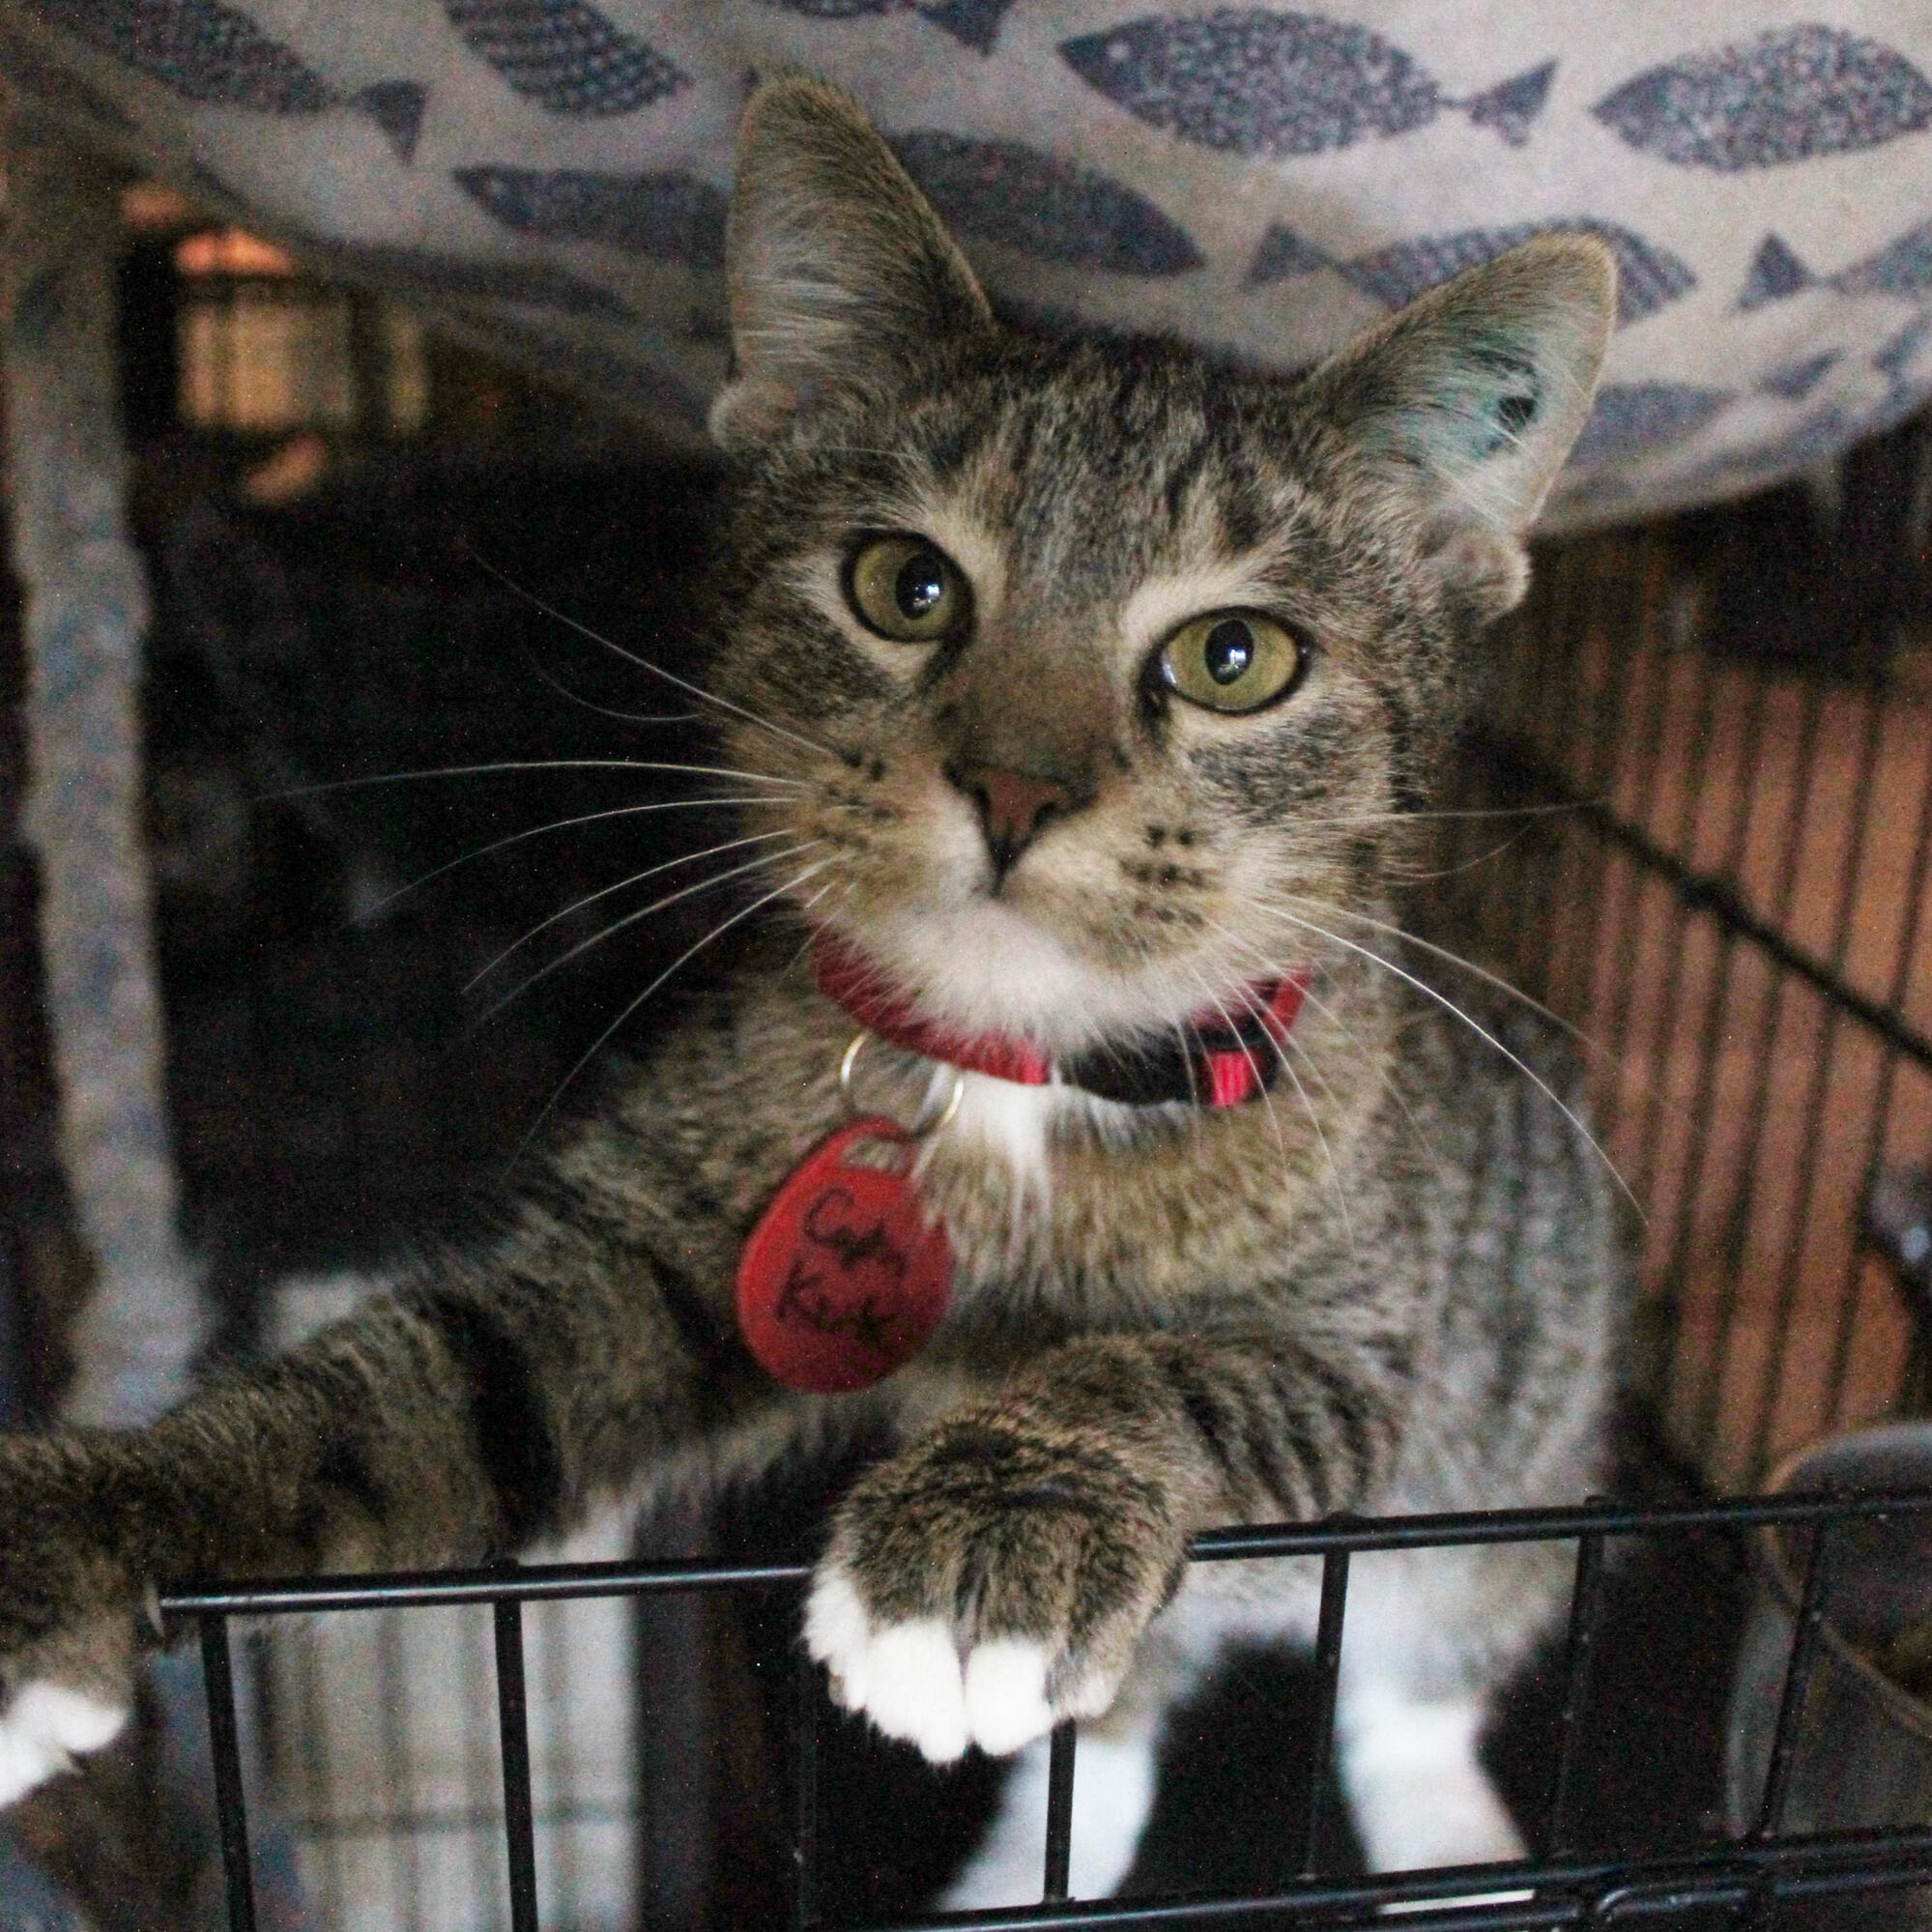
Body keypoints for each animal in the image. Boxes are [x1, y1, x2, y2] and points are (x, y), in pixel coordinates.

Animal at [0, 74, 1622, 1906]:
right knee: (1115, 1738)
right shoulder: (646, 1248)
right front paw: (98, 1515)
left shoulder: (1367, 1331)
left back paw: (1445, 1833)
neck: (1011, 1076)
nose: (1012, 787)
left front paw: (996, 1525)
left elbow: (1168, 1367)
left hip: (1514, 1438)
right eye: (902, 585)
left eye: (1234, 657)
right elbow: (414, 1390)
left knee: (1413, 1671)